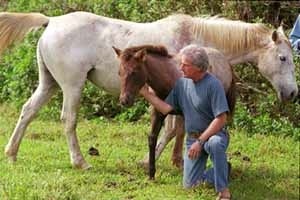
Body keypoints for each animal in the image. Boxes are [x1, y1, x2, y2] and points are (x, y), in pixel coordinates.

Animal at [1, 11, 298, 170]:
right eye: (283, 58)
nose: (293, 94)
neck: (195, 42)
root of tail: (51, 21)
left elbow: (179, 129)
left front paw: (175, 161)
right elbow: (172, 130)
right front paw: (150, 161)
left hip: (49, 83)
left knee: (28, 112)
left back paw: (12, 154)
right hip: (72, 86)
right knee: (68, 120)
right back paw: (80, 162)